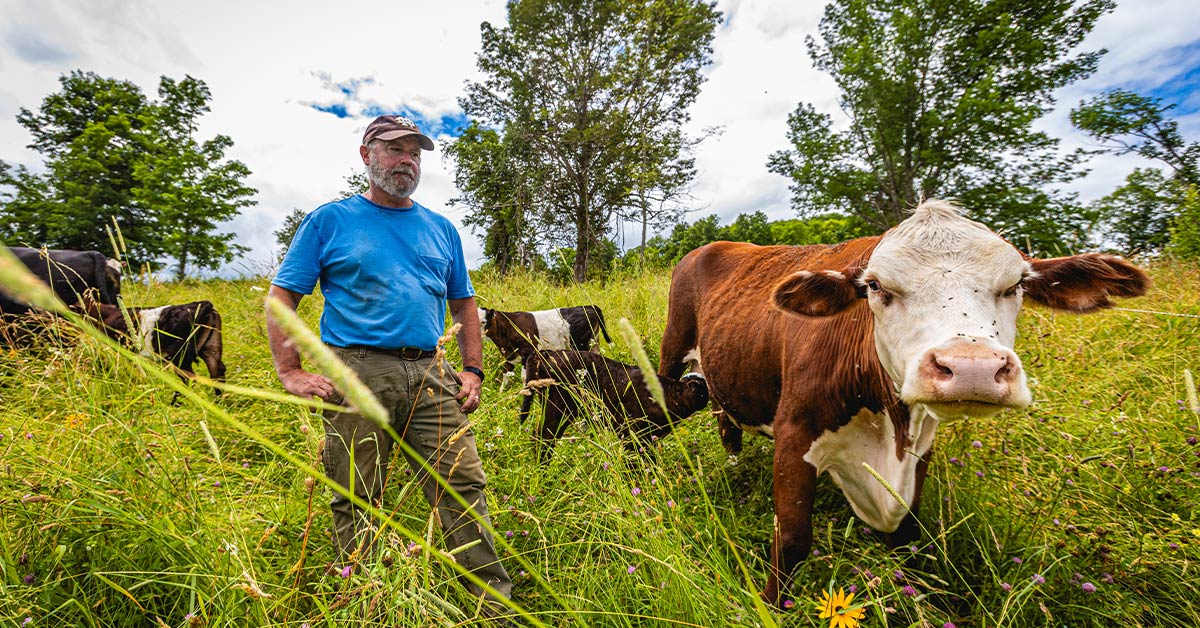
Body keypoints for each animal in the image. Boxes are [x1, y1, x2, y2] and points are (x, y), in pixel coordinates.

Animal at [478, 305, 612, 371]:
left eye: (483, 321)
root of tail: (589, 306)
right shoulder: (509, 355)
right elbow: (506, 375)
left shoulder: (528, 352)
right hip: (593, 340)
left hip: (581, 344)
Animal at [657, 199, 1150, 604]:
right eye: (876, 286)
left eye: (1015, 286)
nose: (970, 368)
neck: (886, 424)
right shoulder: (795, 432)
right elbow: (793, 539)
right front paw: (773, 606)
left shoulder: (919, 449)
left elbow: (911, 535)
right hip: (672, 350)